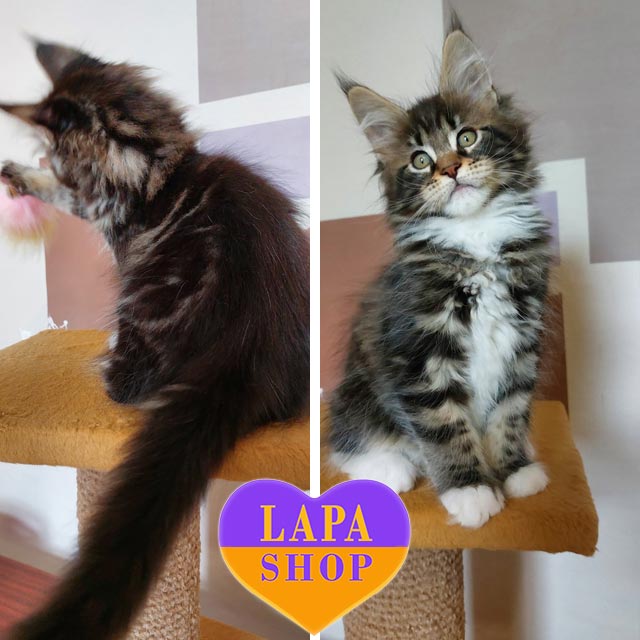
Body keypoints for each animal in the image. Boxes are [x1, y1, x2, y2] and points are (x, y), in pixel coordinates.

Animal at [0, 41, 309, 639]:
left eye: (60, 155)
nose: (47, 162)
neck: (159, 170)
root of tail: (248, 347)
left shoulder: (105, 214)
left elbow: (72, 200)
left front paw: (22, 174)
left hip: (144, 310)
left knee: (127, 385)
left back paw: (102, 365)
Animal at [328, 21, 551, 528]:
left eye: (466, 138)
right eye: (420, 160)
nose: (450, 169)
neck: (477, 239)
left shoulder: (522, 339)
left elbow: (511, 412)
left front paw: (514, 469)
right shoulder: (418, 355)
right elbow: (444, 426)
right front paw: (471, 491)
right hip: (356, 392)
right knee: (346, 442)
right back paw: (389, 468)